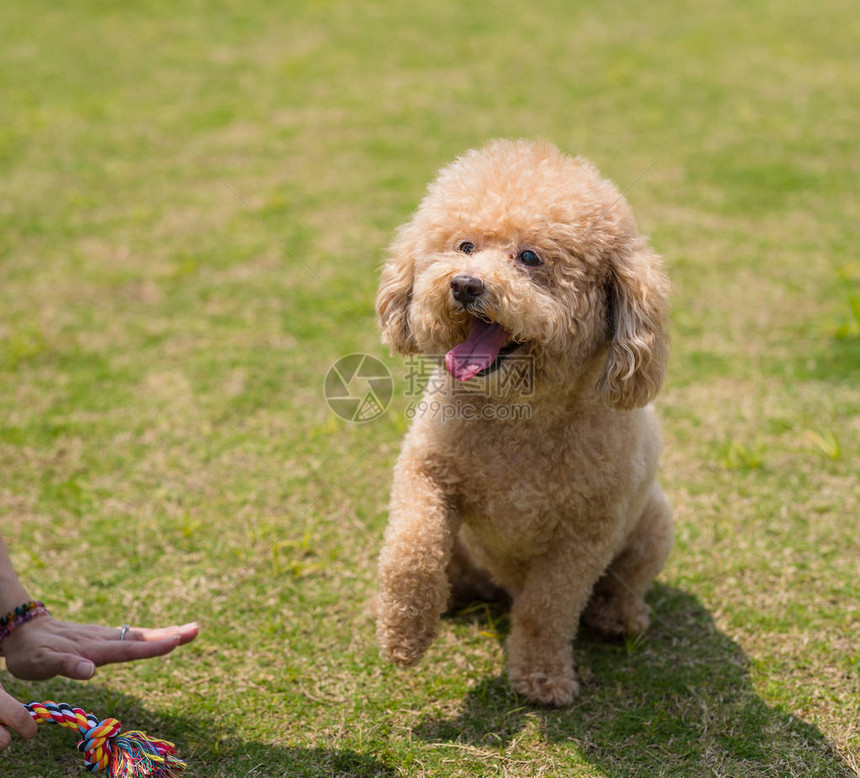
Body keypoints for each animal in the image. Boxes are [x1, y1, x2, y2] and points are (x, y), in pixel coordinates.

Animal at [374, 139, 672, 704]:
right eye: (465, 246)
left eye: (530, 257)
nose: (465, 285)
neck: (521, 413)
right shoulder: (425, 472)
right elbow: (410, 552)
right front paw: (403, 633)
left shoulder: (586, 535)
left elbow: (546, 608)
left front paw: (542, 678)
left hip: (655, 524)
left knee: (626, 581)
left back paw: (619, 616)